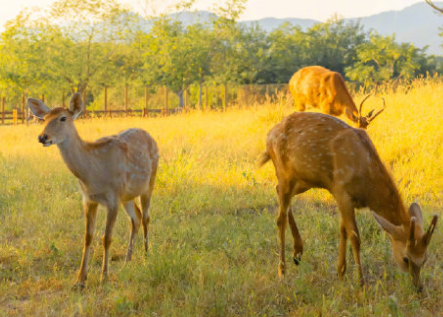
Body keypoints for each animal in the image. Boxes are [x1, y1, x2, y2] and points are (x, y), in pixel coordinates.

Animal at [27, 93, 160, 286]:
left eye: (63, 118)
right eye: (44, 119)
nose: (43, 137)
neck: (93, 173)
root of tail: (150, 136)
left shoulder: (113, 198)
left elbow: (106, 238)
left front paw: (104, 277)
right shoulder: (88, 199)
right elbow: (87, 237)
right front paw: (80, 280)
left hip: (150, 180)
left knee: (146, 217)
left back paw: (146, 255)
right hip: (127, 196)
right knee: (136, 217)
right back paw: (127, 261)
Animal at [260, 111, 438, 288]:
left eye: (425, 258)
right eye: (406, 258)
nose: (418, 286)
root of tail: (269, 136)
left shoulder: (343, 197)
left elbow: (343, 230)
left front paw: (341, 272)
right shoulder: (341, 191)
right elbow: (355, 236)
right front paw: (361, 283)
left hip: (304, 180)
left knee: (278, 191)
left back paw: (297, 252)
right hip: (285, 173)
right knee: (280, 218)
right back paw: (282, 271)